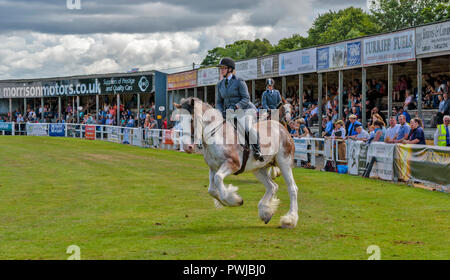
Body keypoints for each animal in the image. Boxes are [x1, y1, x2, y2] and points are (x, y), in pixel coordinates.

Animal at [175, 97, 298, 229]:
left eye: (191, 119)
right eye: (179, 120)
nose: (187, 147)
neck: (217, 134)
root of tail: (281, 127)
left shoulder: (232, 164)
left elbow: (218, 179)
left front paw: (233, 200)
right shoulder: (213, 168)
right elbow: (211, 190)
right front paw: (232, 199)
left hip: (284, 162)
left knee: (292, 188)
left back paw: (289, 220)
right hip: (258, 169)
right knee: (272, 187)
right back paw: (265, 212)